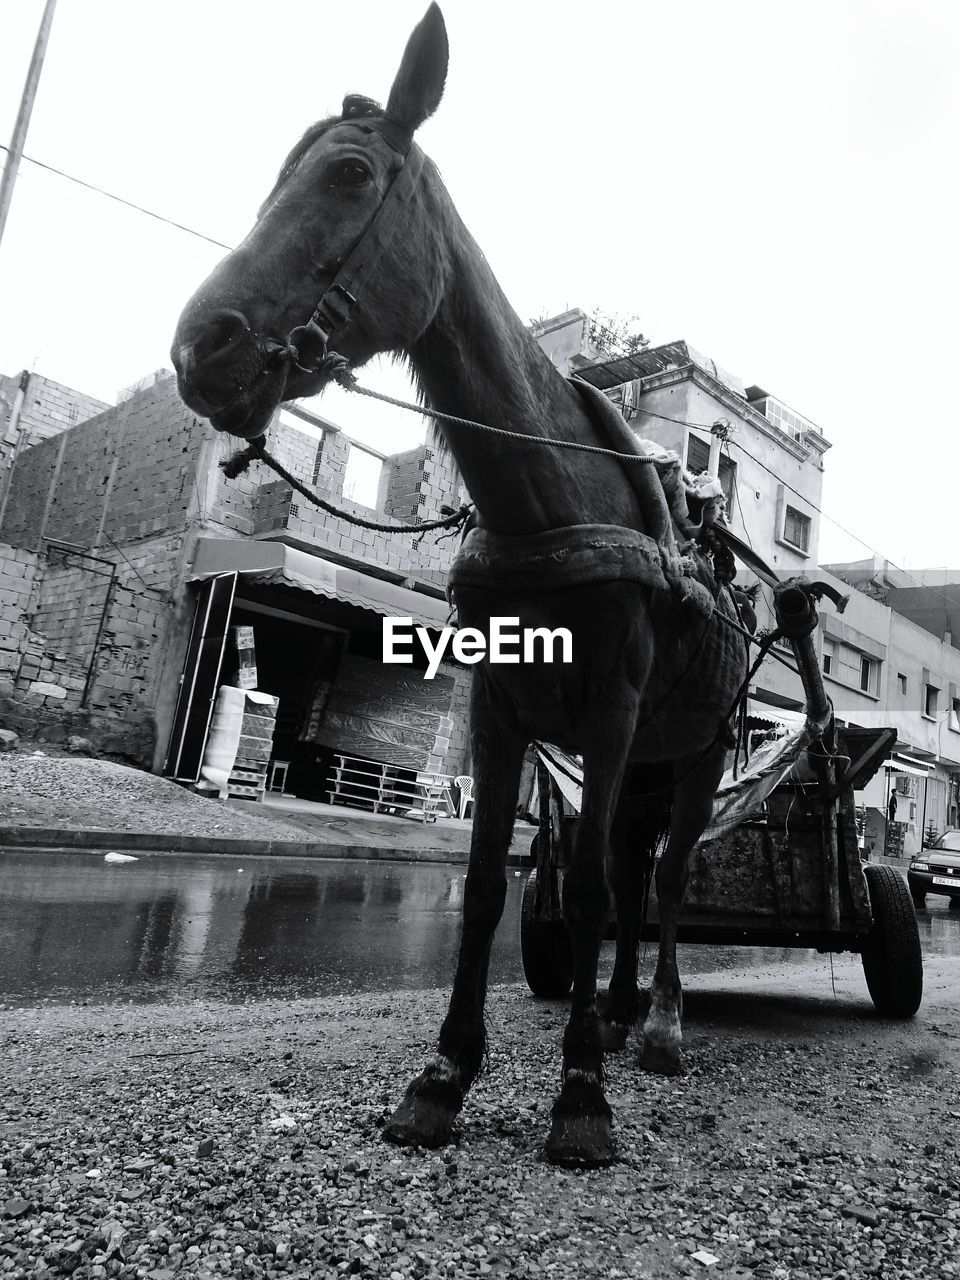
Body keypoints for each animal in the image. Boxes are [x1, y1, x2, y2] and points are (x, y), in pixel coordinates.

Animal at [171, 3, 748, 1167]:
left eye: (349, 173)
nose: (200, 347)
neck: (550, 499)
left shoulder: (610, 710)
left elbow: (590, 884)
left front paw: (580, 1095)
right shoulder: (500, 707)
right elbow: (491, 885)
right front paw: (446, 1075)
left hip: (699, 744)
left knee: (662, 875)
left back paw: (659, 1022)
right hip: (650, 756)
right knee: (629, 865)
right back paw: (618, 1004)